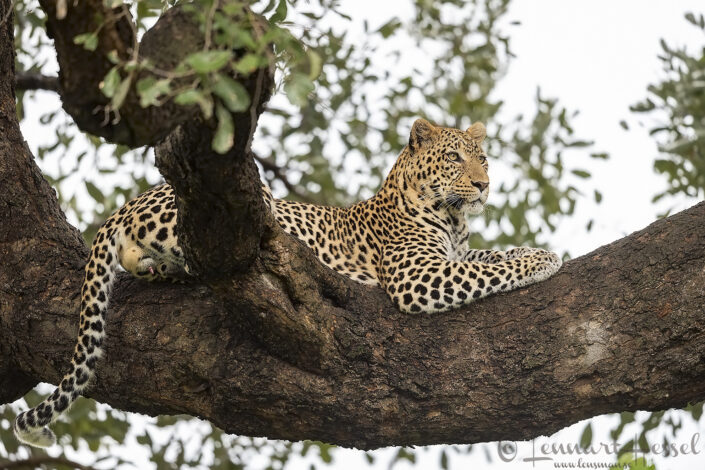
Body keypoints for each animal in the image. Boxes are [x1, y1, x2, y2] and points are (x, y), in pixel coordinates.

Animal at [14, 118, 562, 447]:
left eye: (482, 159)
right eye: (453, 159)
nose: (483, 185)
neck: (452, 219)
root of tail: (130, 202)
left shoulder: (453, 255)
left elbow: (488, 256)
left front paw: (532, 248)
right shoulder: (417, 275)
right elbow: (486, 269)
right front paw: (544, 259)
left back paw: (156, 269)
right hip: (243, 207)